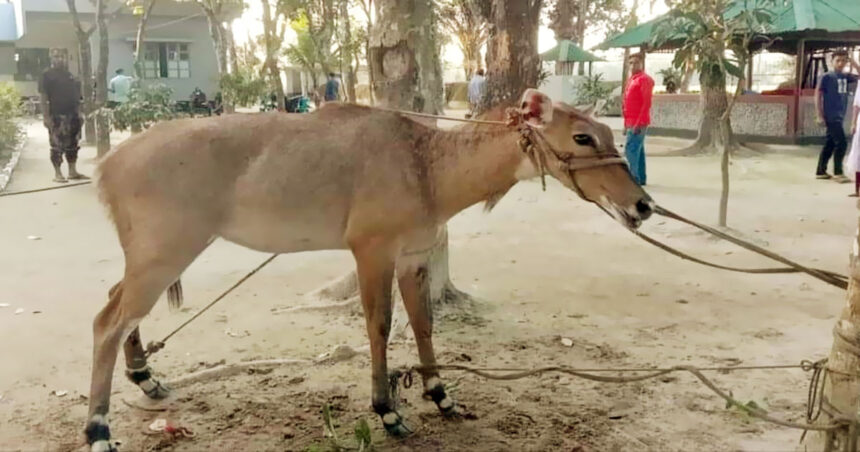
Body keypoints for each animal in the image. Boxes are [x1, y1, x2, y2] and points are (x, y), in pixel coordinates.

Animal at [85, 90, 652, 450]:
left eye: (607, 132)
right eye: (581, 137)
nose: (642, 205)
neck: (428, 165)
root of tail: (108, 165)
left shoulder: (413, 257)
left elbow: (423, 323)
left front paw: (442, 397)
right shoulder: (371, 251)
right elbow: (379, 325)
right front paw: (390, 412)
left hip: (153, 256)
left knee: (117, 301)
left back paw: (148, 379)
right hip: (167, 250)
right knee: (107, 321)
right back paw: (97, 430)